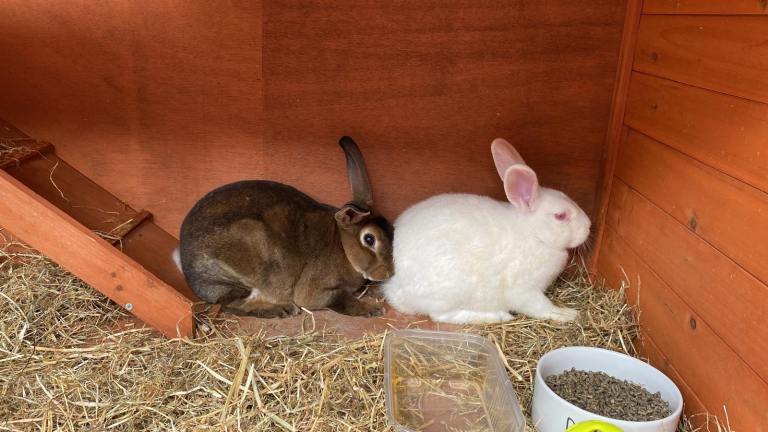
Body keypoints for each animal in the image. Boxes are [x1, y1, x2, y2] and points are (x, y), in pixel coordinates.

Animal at [175, 136, 394, 318]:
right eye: (369, 239)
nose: (388, 274)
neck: (342, 245)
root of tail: (189, 271)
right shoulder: (317, 291)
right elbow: (342, 300)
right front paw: (372, 309)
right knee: (233, 305)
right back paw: (282, 309)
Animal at [382, 138, 590, 324]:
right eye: (560, 216)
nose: (588, 226)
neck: (534, 234)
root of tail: (396, 285)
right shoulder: (525, 290)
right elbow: (541, 307)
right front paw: (567, 314)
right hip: (452, 292)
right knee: (442, 316)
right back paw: (499, 316)